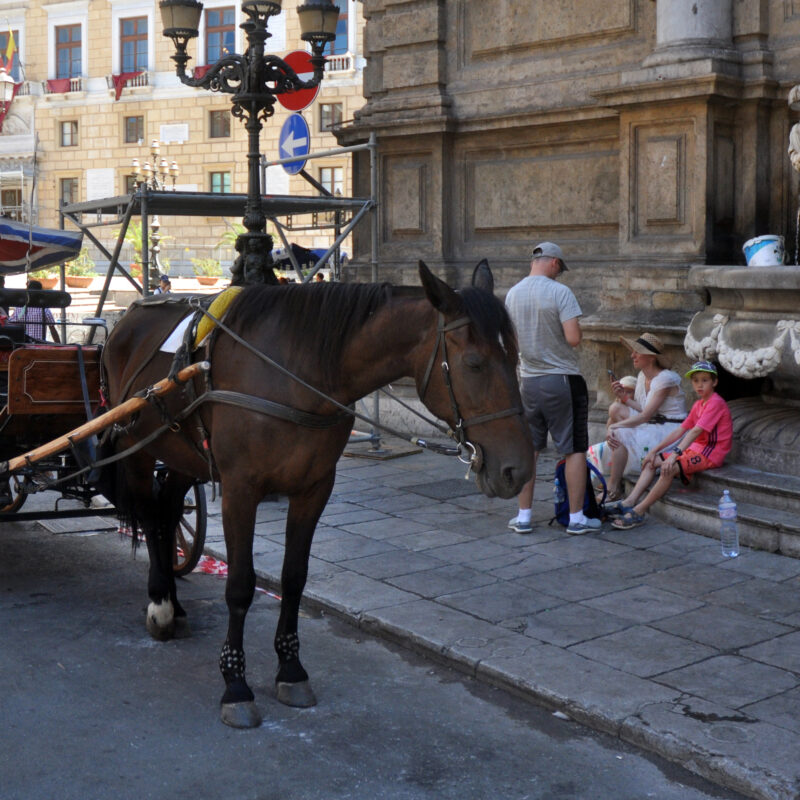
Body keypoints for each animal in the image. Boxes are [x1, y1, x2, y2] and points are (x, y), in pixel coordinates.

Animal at [103, 260, 536, 728]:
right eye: (474, 363)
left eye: (514, 357)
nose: (519, 468)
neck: (296, 369)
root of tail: (127, 318)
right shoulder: (240, 489)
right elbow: (240, 585)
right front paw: (235, 684)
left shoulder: (314, 488)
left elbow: (294, 578)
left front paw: (291, 669)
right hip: (139, 447)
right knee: (150, 516)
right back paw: (160, 603)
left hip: (185, 454)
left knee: (167, 510)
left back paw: (174, 601)